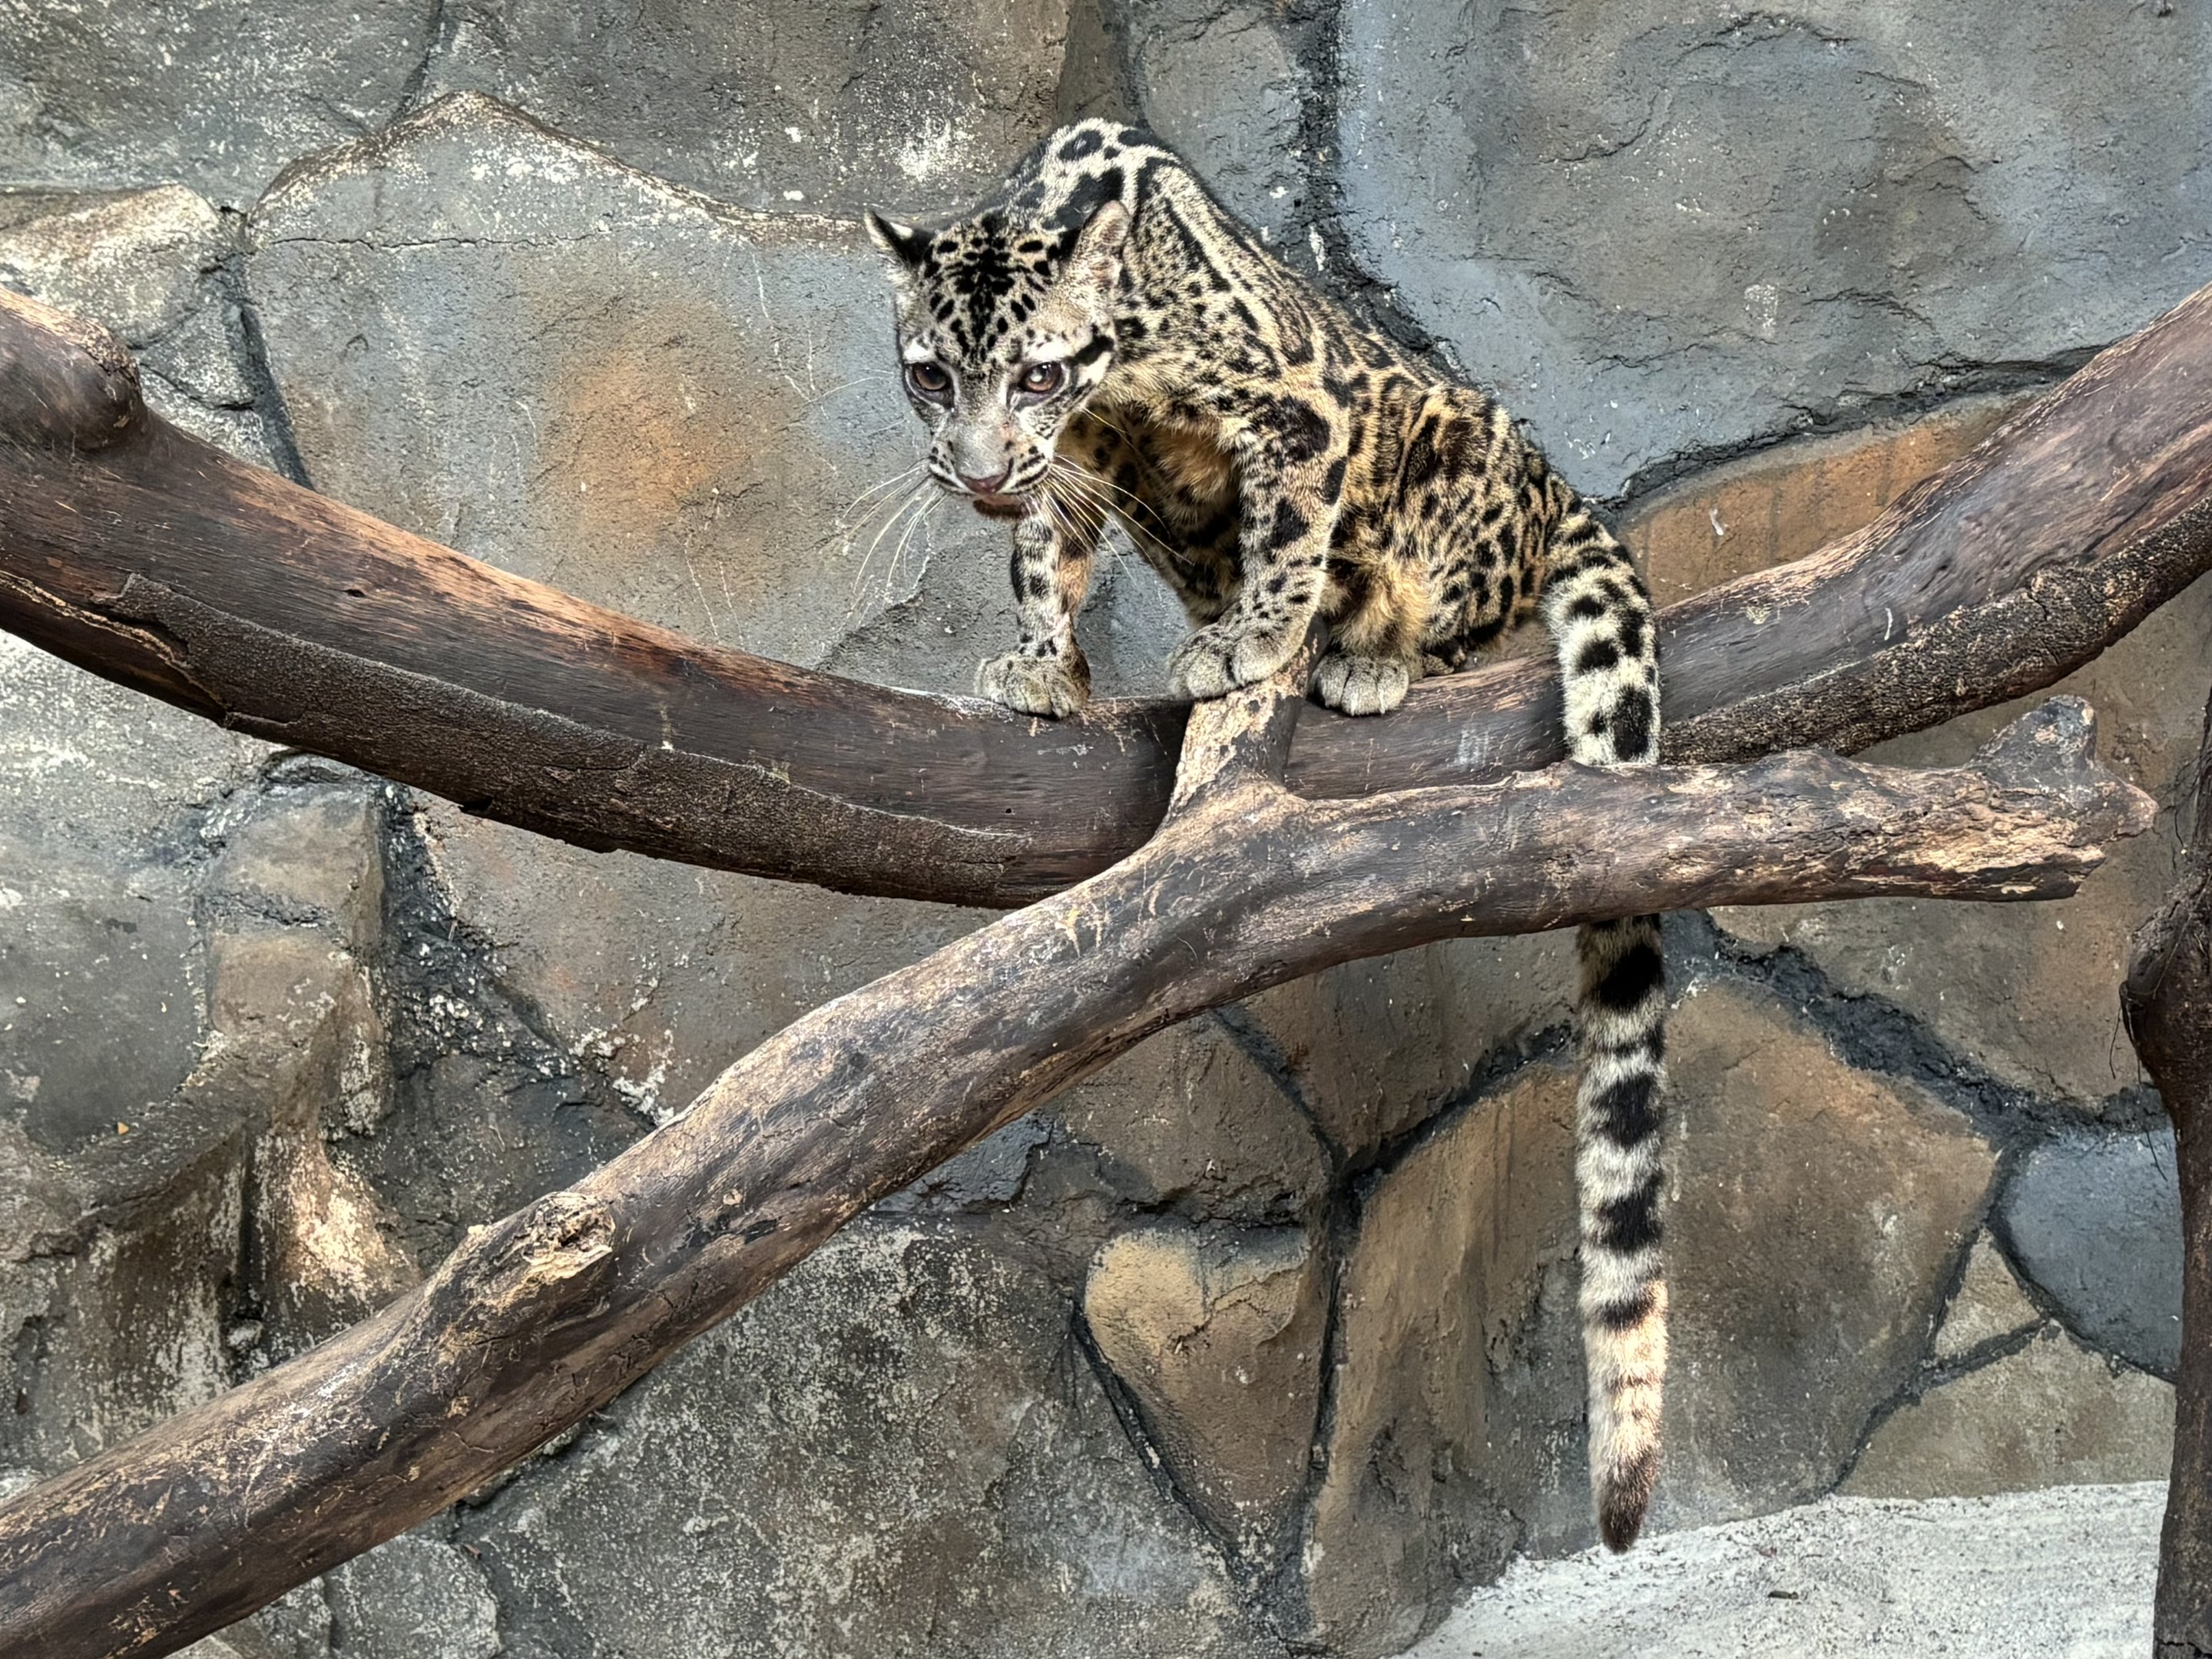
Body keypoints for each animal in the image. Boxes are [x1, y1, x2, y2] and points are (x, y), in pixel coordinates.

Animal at [866, 118, 1668, 1551]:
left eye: (1033, 371)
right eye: (927, 374)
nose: (977, 470)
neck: (1118, 381)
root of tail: (1554, 482)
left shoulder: (1303, 408)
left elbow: (1288, 525)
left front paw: (1255, 639)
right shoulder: (1085, 472)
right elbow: (1044, 557)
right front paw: (1042, 664)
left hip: (1461, 457)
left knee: (1455, 604)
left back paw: (1369, 651)